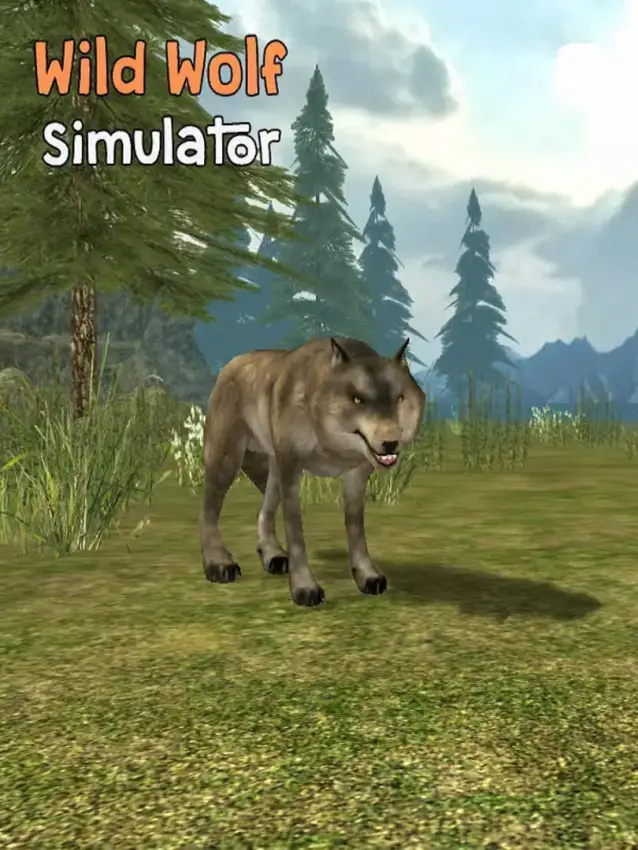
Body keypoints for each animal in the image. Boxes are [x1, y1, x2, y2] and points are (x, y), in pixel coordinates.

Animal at [198, 336, 425, 606]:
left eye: (399, 398)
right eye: (357, 399)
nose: (390, 442)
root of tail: (232, 362)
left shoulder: (355, 476)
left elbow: (356, 530)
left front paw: (367, 576)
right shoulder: (292, 470)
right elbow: (296, 532)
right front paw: (304, 588)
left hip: (273, 468)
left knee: (264, 510)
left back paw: (273, 555)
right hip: (227, 459)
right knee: (208, 510)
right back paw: (218, 563)